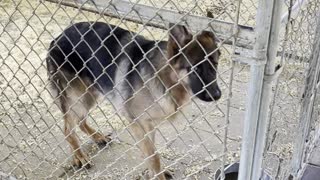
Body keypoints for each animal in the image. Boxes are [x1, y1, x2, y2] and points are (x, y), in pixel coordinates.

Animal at [46, 17, 221, 179]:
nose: (217, 95)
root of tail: (58, 37)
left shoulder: (149, 124)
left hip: (91, 93)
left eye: (215, 64)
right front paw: (158, 174)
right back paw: (79, 155)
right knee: (68, 129)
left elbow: (152, 153)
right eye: (195, 68)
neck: (165, 77)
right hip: (78, 97)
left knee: (80, 121)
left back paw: (97, 137)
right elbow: (153, 156)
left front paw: (156, 171)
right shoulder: (137, 123)